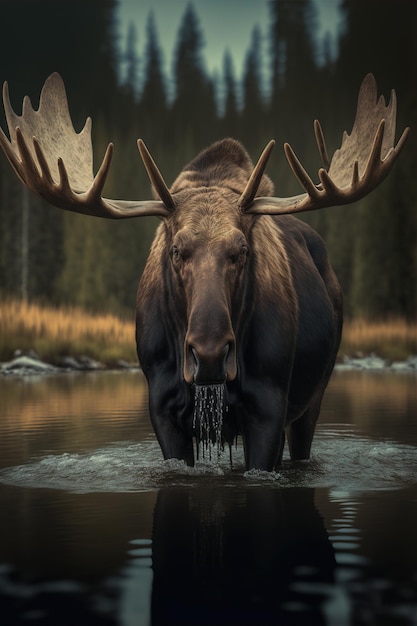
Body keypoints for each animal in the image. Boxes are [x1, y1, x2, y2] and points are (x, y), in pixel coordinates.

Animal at [0, 73, 408, 468]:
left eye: (242, 250)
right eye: (176, 250)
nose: (209, 354)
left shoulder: (269, 406)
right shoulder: (162, 408)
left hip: (313, 397)